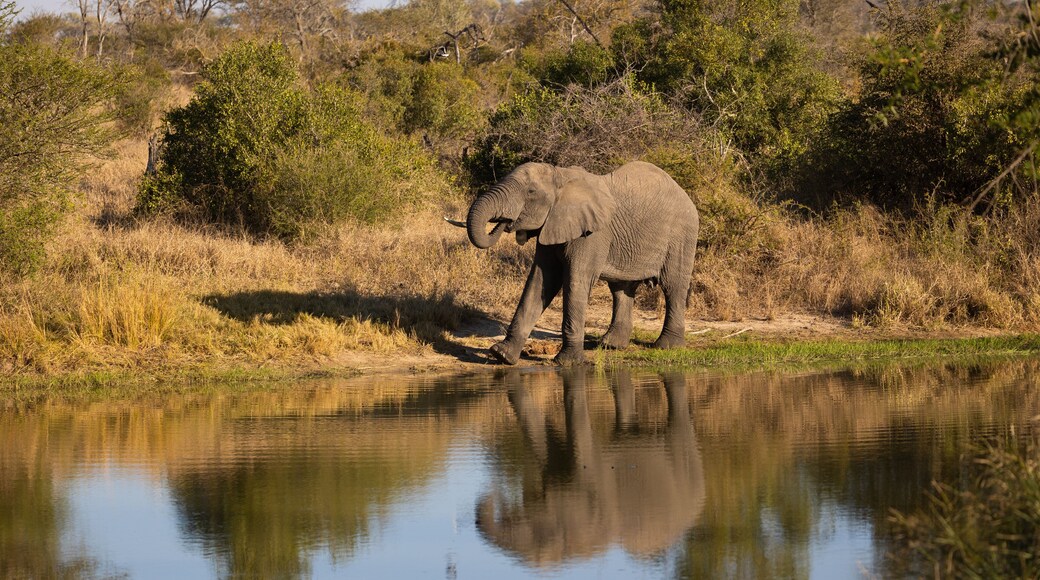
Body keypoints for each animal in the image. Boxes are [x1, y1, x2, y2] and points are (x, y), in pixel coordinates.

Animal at [448, 161, 699, 364]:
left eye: (530, 192)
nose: (505, 222)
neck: (561, 176)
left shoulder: (592, 234)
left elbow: (575, 282)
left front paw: (567, 363)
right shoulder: (552, 225)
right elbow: (540, 282)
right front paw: (501, 355)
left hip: (682, 235)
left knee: (673, 286)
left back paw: (667, 347)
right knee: (621, 288)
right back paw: (611, 345)